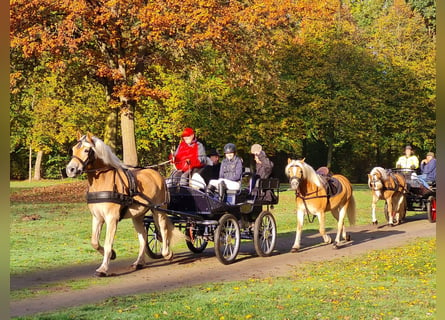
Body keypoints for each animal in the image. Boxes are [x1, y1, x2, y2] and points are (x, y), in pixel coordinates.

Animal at [65, 131, 179, 276]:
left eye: (86, 150)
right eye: (74, 149)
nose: (71, 169)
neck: (102, 182)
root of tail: (156, 174)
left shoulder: (111, 218)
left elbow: (108, 243)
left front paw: (103, 268)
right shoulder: (97, 218)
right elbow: (94, 242)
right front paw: (113, 255)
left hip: (159, 210)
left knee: (163, 230)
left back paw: (167, 253)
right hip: (138, 216)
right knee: (143, 236)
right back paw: (139, 262)